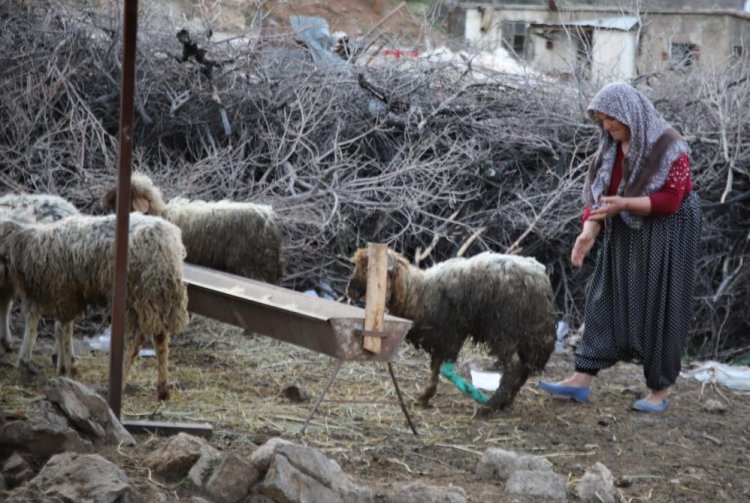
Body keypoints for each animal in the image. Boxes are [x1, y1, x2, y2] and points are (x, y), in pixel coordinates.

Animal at [0, 194, 79, 362]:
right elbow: (5, 305)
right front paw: (5, 340)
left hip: (36, 273)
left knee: (33, 314)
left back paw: (25, 356)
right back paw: (65, 355)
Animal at [0, 211, 191, 400]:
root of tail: (166, 244)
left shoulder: (64, 292)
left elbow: (60, 329)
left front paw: (64, 367)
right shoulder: (69, 294)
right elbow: (61, 328)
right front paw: (64, 364)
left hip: (136, 295)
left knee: (137, 340)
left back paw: (121, 382)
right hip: (158, 297)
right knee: (161, 339)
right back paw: (162, 388)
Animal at [346, 248, 560, 414]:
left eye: (369, 268)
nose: (350, 291)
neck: (416, 292)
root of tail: (541, 280)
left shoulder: (450, 334)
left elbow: (442, 369)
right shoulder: (441, 338)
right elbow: (435, 368)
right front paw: (424, 398)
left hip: (504, 330)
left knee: (514, 366)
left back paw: (490, 405)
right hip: (527, 335)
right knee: (524, 368)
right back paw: (505, 402)